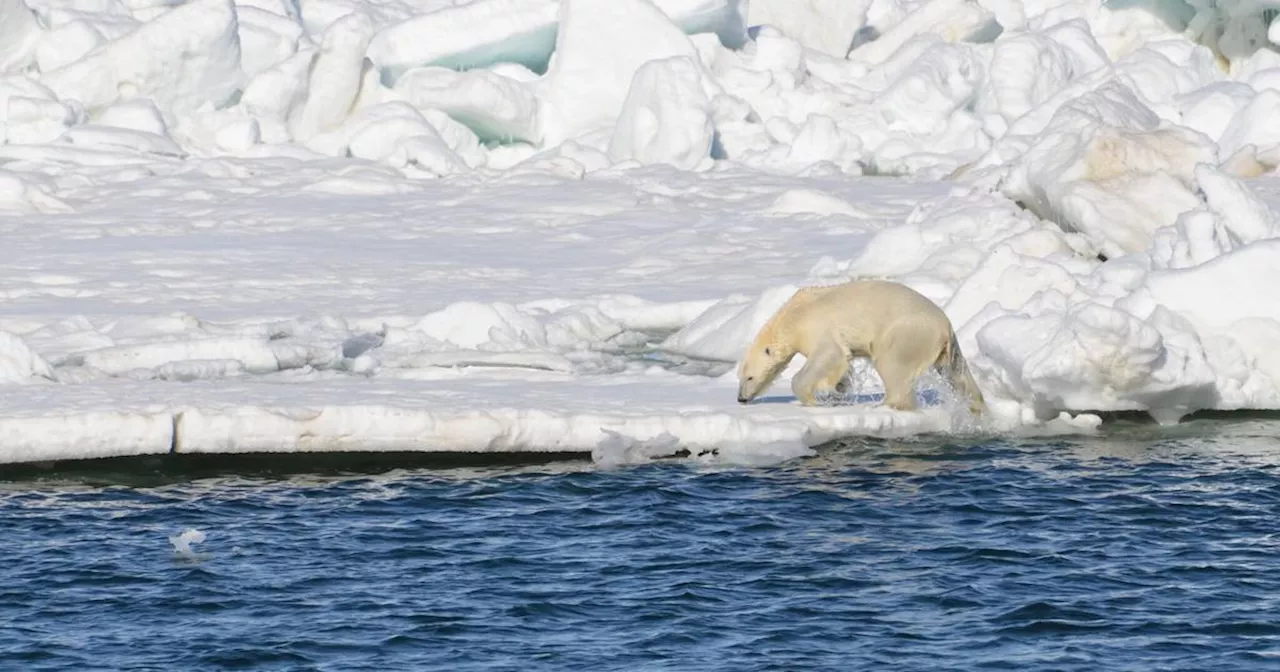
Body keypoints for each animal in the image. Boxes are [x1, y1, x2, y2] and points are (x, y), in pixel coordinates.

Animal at [737, 277, 983, 414]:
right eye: (740, 377)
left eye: (749, 377)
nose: (741, 398)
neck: (792, 317)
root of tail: (944, 324)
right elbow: (843, 366)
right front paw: (839, 392)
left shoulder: (817, 327)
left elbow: (830, 354)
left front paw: (812, 399)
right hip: (947, 348)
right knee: (957, 374)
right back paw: (976, 406)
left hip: (908, 333)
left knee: (891, 365)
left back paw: (884, 405)